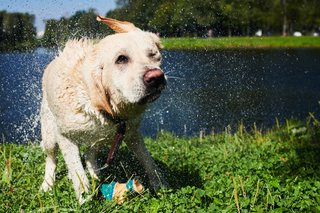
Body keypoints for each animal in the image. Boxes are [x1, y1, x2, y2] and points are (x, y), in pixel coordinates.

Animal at [40, 16, 168, 203]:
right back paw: (47, 184)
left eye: (153, 55)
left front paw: (161, 185)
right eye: (121, 59)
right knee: (51, 158)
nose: (156, 77)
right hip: (49, 134)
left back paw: (96, 175)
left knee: (89, 154)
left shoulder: (131, 133)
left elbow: (148, 161)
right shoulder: (65, 135)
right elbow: (77, 172)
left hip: (103, 138)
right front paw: (84, 199)